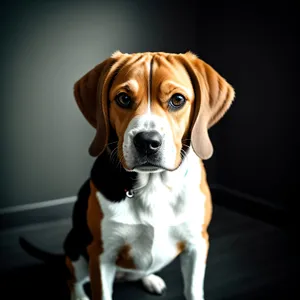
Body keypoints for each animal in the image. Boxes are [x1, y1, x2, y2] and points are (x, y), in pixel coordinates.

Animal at [21, 51, 234, 300]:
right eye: (123, 98)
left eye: (177, 100)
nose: (147, 142)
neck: (154, 187)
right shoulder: (101, 256)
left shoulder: (197, 245)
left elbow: (193, 290)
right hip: (76, 251)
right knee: (72, 279)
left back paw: (150, 279)